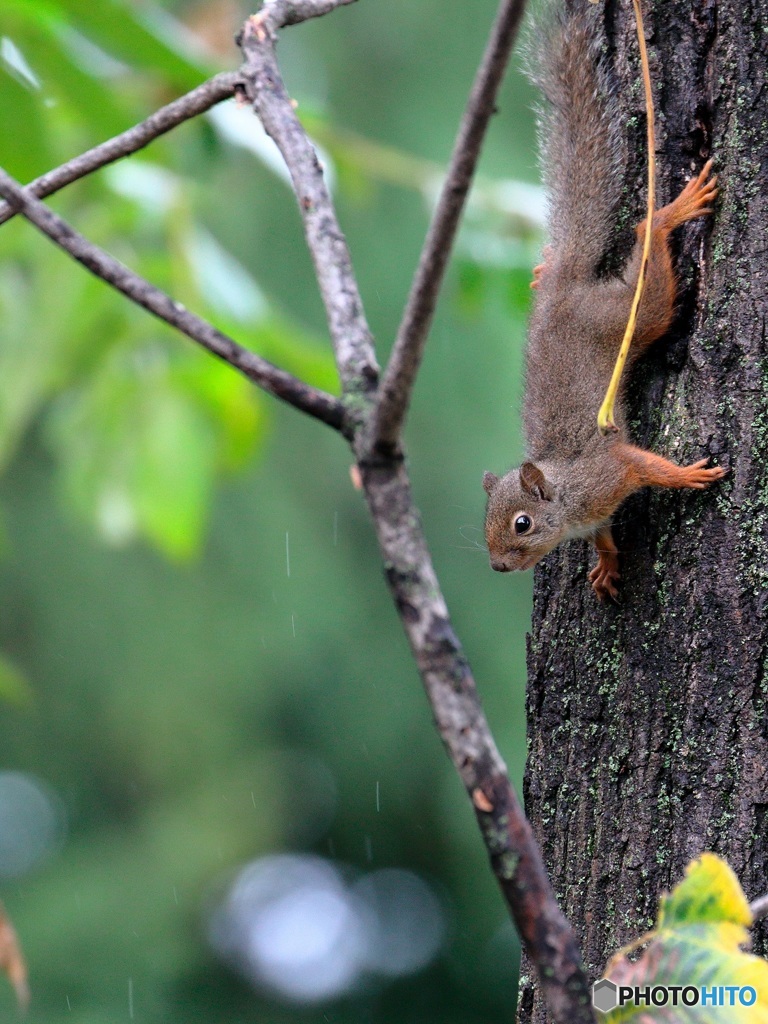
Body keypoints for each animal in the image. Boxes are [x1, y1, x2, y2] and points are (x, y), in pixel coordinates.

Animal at [483, 2, 724, 598]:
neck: (567, 499)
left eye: (522, 523)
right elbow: (604, 534)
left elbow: (645, 467)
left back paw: (667, 215)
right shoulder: (595, 511)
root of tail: (562, 291)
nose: (497, 565)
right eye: (485, 524)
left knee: (647, 253)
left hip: (629, 315)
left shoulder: (609, 472)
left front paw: (688, 474)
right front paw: (607, 563)